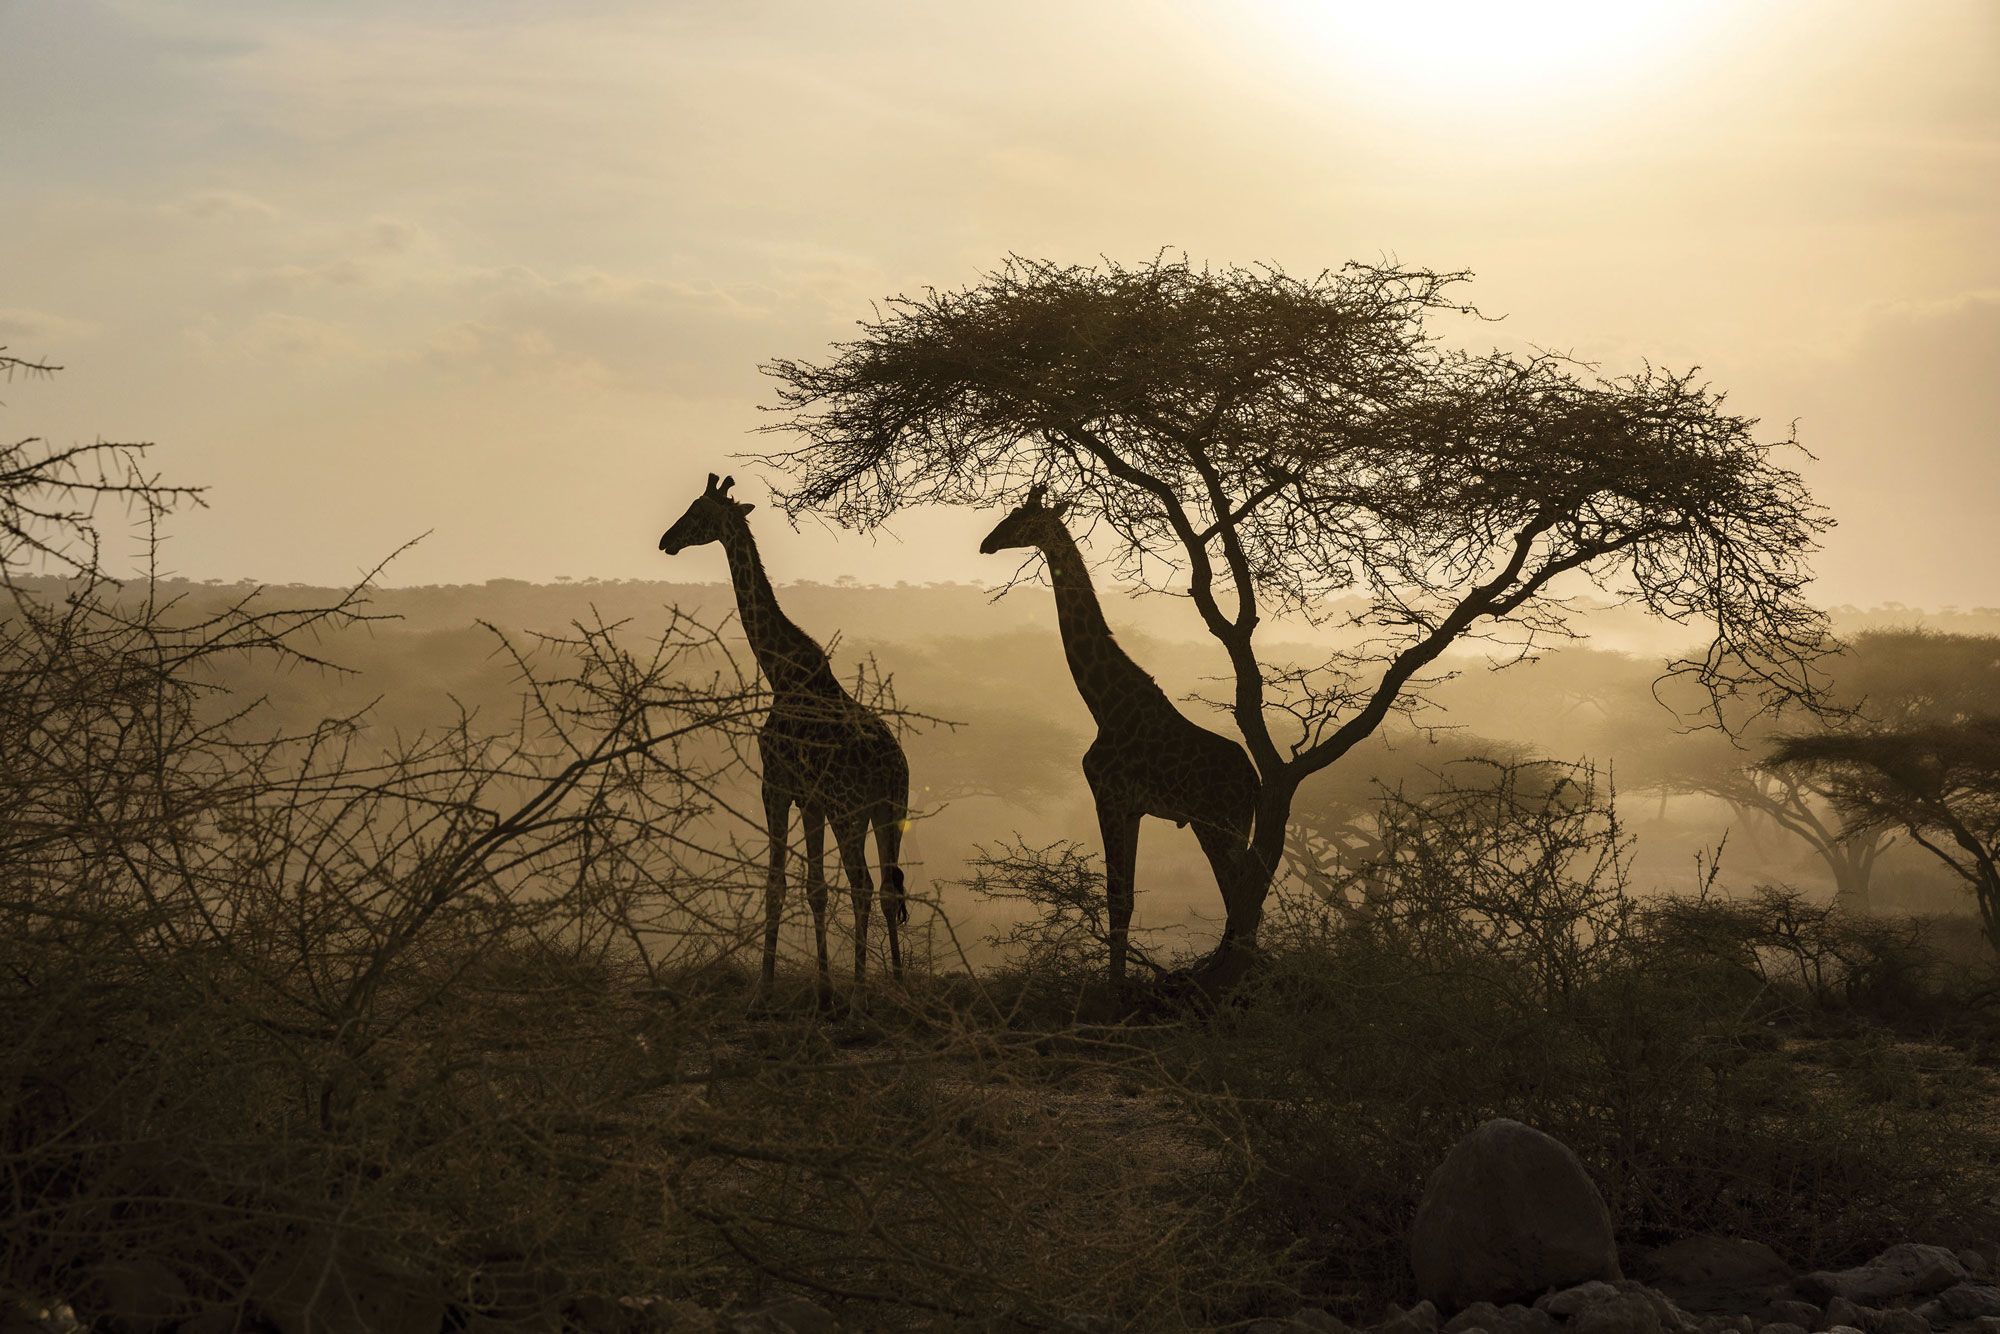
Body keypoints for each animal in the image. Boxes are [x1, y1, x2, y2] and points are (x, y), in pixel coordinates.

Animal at [659, 473, 909, 1000]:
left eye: (698, 511)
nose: (666, 540)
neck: (780, 672)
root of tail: (895, 767)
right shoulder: (809, 798)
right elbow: (814, 888)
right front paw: (823, 986)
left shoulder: (775, 785)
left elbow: (777, 884)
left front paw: (766, 985)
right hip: (889, 810)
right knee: (888, 886)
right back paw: (900, 984)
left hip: (850, 808)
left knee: (863, 885)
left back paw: (862, 988)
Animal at [979, 485, 1257, 983]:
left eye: (1022, 520)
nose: (986, 543)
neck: (1103, 704)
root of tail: (1254, 781)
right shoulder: (1133, 808)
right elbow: (1124, 898)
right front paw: (1118, 978)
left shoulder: (1107, 795)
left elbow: (1116, 898)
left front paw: (1115, 985)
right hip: (1230, 826)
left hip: (1216, 825)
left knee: (1238, 895)